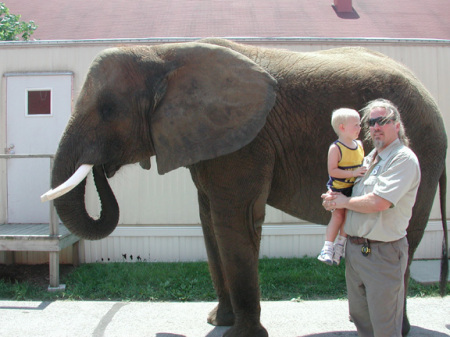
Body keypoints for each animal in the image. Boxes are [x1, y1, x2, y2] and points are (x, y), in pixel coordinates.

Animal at [43, 38, 446, 334]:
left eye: (108, 109)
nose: (102, 168)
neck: (162, 52)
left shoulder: (247, 144)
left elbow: (234, 224)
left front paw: (242, 335)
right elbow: (209, 223)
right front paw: (218, 322)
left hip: (423, 154)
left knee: (405, 241)